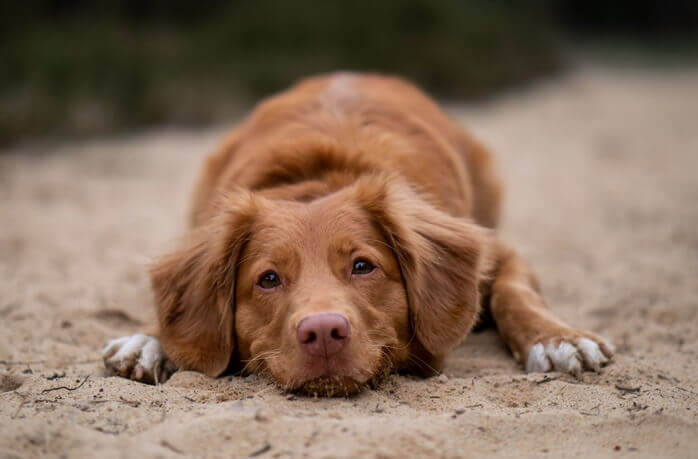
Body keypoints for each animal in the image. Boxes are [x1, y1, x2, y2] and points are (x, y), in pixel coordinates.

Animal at [102, 72, 608, 396]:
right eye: (268, 279)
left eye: (363, 266)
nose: (324, 332)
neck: (319, 179)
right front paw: (150, 339)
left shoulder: (497, 250)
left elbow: (514, 292)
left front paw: (556, 338)